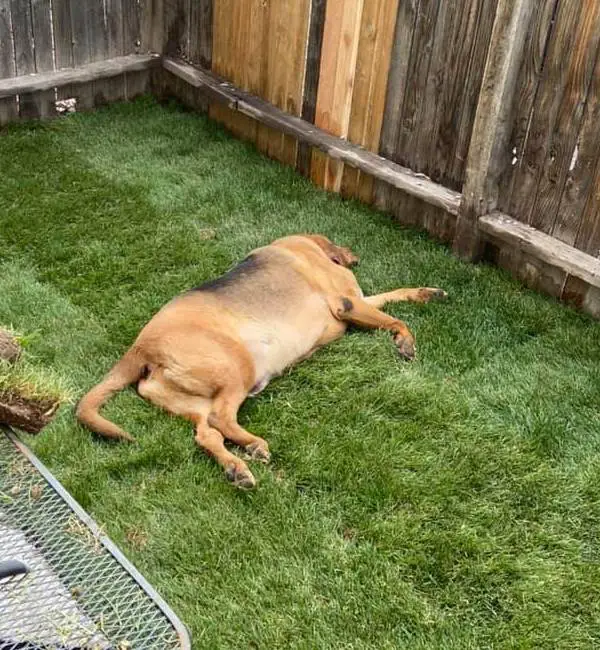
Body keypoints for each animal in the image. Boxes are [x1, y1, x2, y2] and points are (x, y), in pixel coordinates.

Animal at [77, 234, 446, 486]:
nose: (354, 255)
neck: (304, 245)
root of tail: (141, 347)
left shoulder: (360, 302)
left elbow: (394, 295)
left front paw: (426, 293)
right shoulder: (348, 303)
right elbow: (395, 319)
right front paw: (405, 341)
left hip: (188, 399)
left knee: (206, 433)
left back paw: (236, 467)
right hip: (236, 367)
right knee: (221, 419)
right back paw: (254, 445)